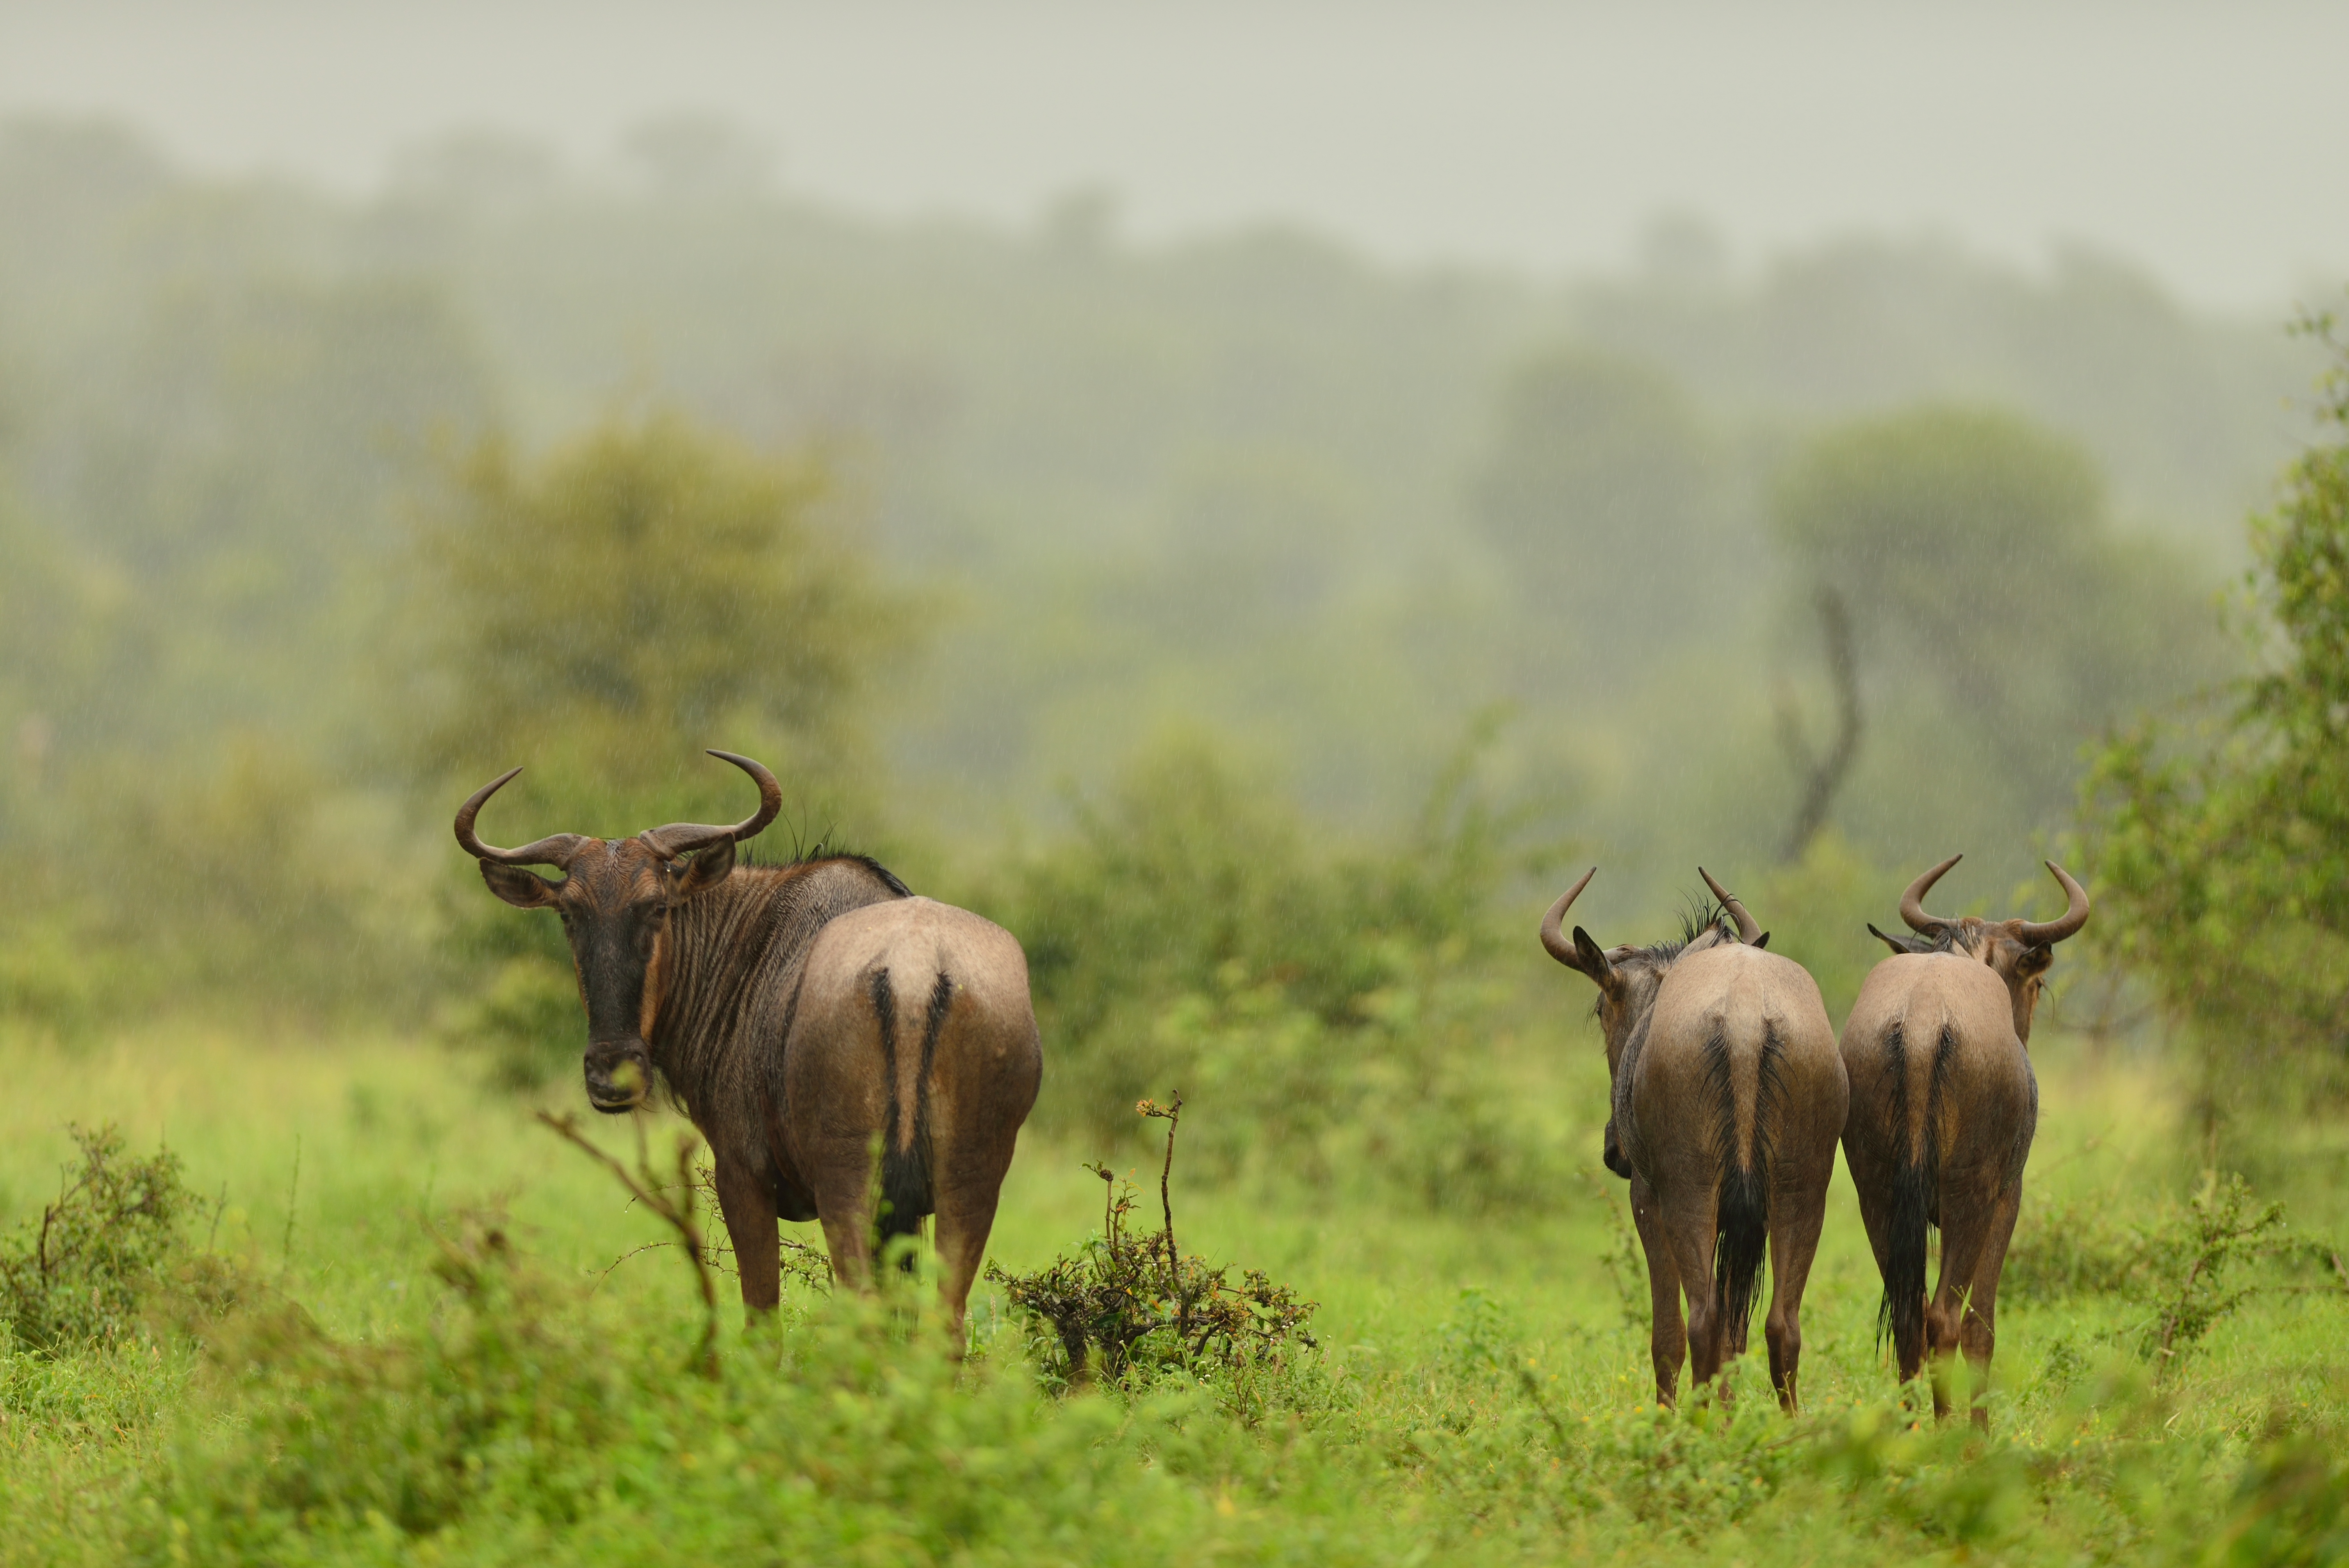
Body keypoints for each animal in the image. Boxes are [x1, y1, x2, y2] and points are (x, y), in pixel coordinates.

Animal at [455, 750, 1043, 1340]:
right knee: (943, 1325)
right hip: (966, 1191)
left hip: (851, 1188)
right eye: (568, 913)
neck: (746, 943)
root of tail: (913, 970)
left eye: (656, 907)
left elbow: (763, 1321)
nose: (612, 1073)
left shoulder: (741, 1178)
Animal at [1542, 869, 1847, 1409]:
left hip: (1692, 1193)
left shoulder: (1647, 1199)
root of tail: (1745, 1016)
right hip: (1802, 1192)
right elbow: (1735, 1338)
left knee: (1702, 1322)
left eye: (1601, 1009)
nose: (1614, 1150)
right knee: (1780, 1326)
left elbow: (1668, 1334)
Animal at [1843, 855, 2089, 1425]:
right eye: (2036, 985)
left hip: (1877, 1197)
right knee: (1944, 1318)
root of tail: (1922, 1021)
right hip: (1967, 1201)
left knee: (1909, 1316)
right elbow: (1983, 1325)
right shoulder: (2007, 1199)